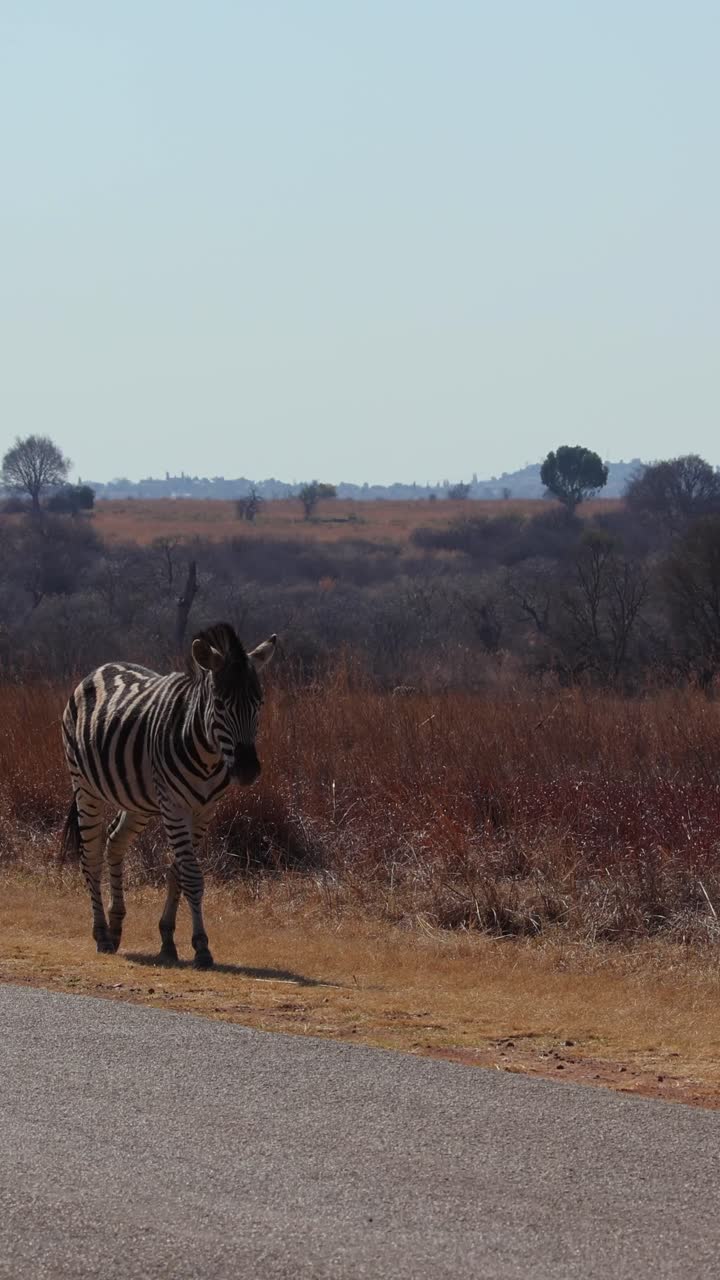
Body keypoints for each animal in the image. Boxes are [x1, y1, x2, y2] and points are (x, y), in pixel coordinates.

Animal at [61, 622, 277, 969]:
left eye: (259, 704)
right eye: (219, 704)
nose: (247, 770)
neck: (207, 755)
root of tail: (101, 668)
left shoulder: (202, 811)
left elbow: (178, 872)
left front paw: (167, 940)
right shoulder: (175, 807)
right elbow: (192, 875)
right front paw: (201, 947)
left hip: (140, 799)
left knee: (114, 840)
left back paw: (116, 924)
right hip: (85, 787)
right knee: (90, 855)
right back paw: (102, 935)